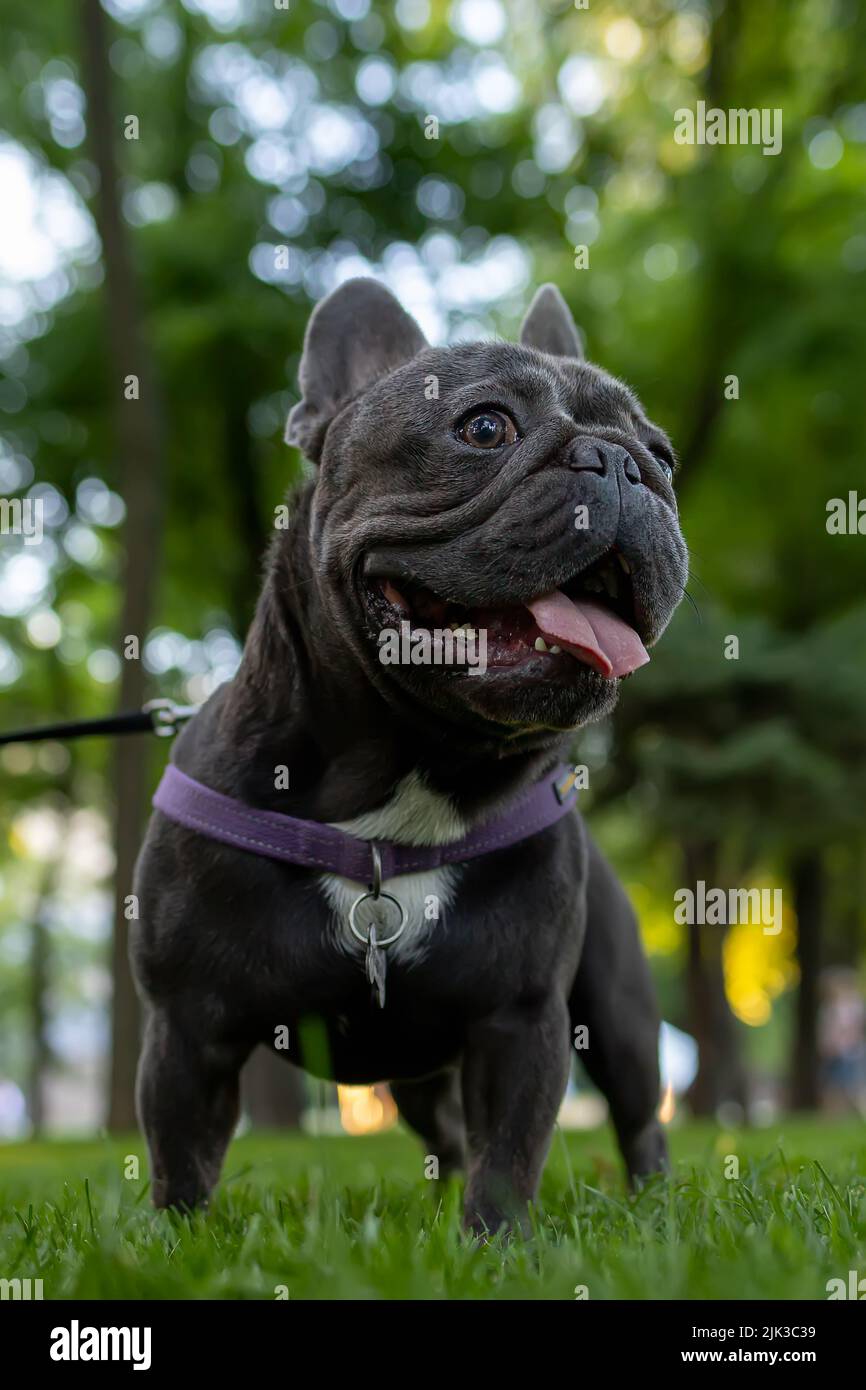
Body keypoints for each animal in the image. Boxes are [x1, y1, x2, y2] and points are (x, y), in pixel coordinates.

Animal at [134, 276, 692, 1234]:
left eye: (663, 455)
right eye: (484, 427)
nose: (625, 465)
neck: (414, 776)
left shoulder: (521, 1019)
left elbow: (509, 1157)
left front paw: (493, 1245)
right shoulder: (186, 1031)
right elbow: (182, 1168)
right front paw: (172, 1247)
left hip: (617, 1010)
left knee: (635, 1113)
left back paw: (653, 1206)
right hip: (416, 1074)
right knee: (447, 1133)